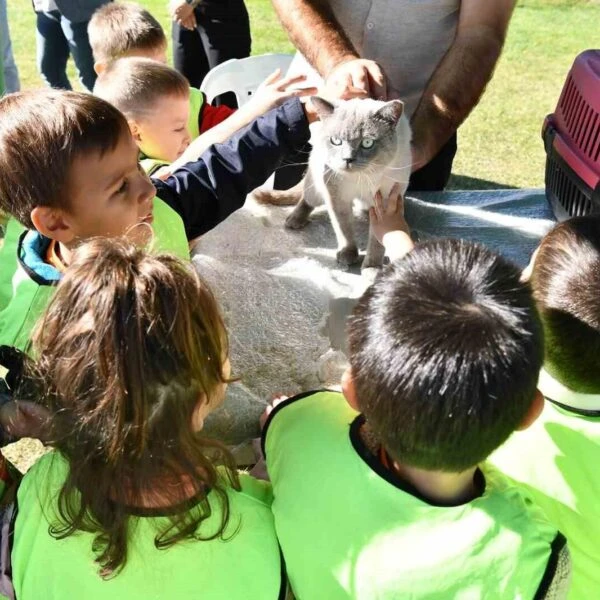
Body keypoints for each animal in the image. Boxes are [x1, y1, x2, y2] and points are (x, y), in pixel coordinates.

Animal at [284, 96, 410, 268]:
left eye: (367, 143)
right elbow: (344, 228)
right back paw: (294, 220)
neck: (361, 178)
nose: (347, 159)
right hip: (316, 188)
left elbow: (379, 240)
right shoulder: (337, 197)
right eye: (336, 141)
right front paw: (347, 255)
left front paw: (372, 268)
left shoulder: (384, 204)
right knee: (307, 199)